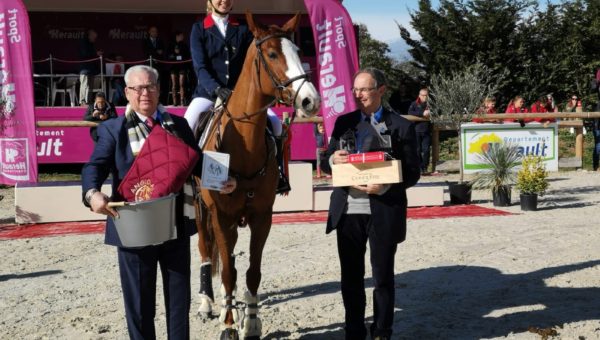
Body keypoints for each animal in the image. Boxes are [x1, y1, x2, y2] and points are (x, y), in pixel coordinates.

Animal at [195, 11, 322, 338]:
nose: (310, 101)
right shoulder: (220, 216)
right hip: (200, 211)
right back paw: (207, 304)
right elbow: (227, 271)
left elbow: (252, 272)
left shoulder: (262, 216)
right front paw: (229, 325)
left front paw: (250, 321)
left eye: (299, 51)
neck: (243, 143)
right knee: (205, 251)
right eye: (273, 54)